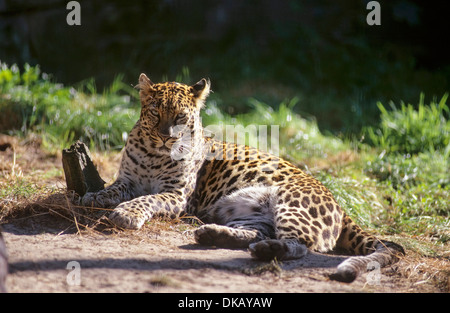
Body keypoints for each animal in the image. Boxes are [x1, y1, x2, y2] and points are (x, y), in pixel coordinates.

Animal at [82, 73, 406, 282]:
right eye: (155, 112)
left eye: (180, 118)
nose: (166, 137)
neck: (153, 152)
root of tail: (339, 205)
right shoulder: (127, 180)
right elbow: (113, 189)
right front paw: (93, 196)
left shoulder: (177, 195)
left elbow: (148, 199)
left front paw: (126, 213)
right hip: (248, 212)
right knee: (262, 232)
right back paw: (213, 234)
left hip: (292, 204)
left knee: (303, 245)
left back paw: (266, 250)